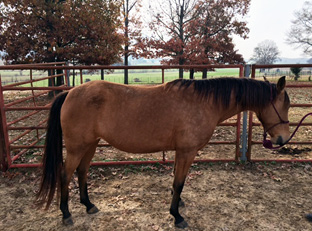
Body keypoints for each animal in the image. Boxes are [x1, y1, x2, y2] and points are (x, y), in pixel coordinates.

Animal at [36, 76, 290, 228]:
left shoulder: (180, 151)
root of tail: (68, 93)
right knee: (65, 174)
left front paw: (178, 204)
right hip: (77, 147)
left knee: (82, 172)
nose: (282, 140)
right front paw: (177, 216)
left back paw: (88, 205)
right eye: (285, 105)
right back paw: (66, 214)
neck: (204, 103)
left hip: (91, 144)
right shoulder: (187, 151)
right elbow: (180, 182)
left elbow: (176, 180)